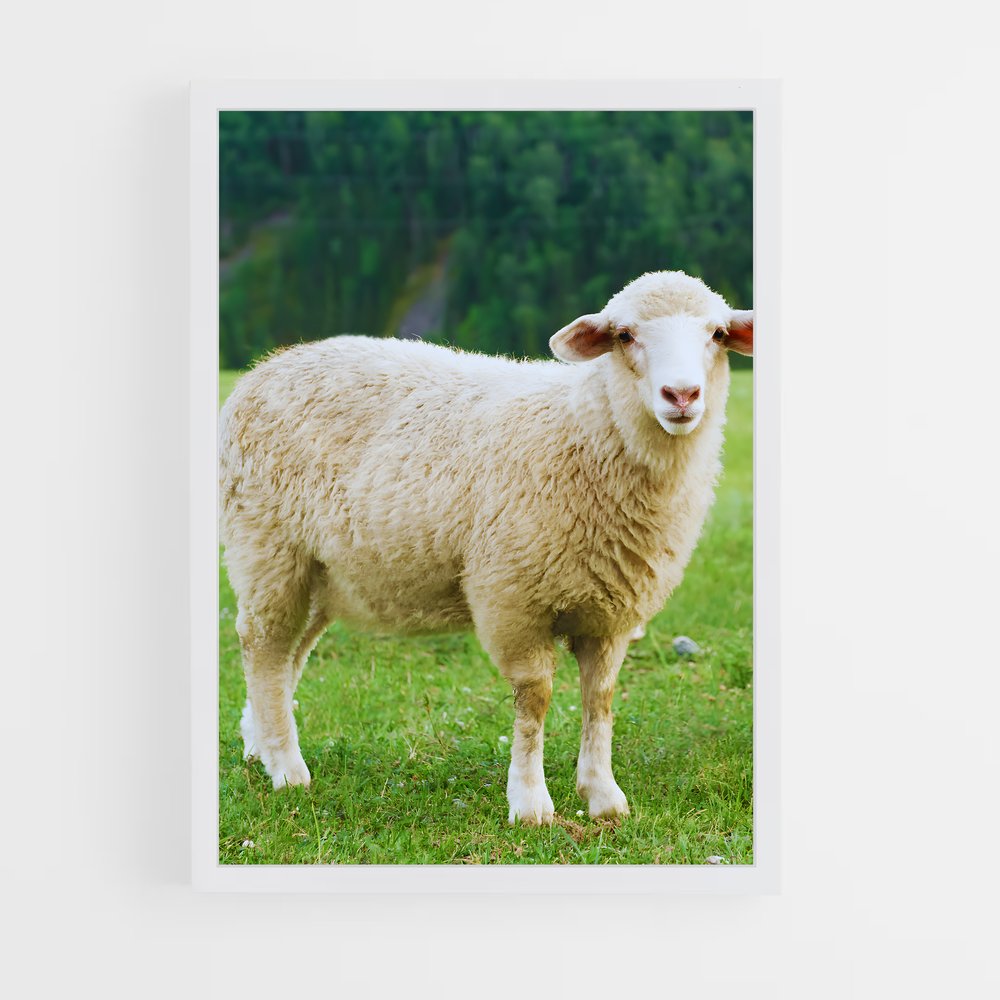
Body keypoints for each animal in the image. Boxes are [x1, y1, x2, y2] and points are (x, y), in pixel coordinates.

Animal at [219, 270, 753, 825]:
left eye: (717, 334)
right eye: (625, 335)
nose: (682, 395)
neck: (585, 432)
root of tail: (268, 366)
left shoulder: (611, 614)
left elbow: (600, 698)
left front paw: (603, 796)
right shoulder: (512, 598)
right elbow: (535, 697)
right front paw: (531, 802)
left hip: (321, 573)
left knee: (289, 655)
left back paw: (260, 744)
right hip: (267, 549)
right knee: (263, 647)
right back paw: (286, 769)